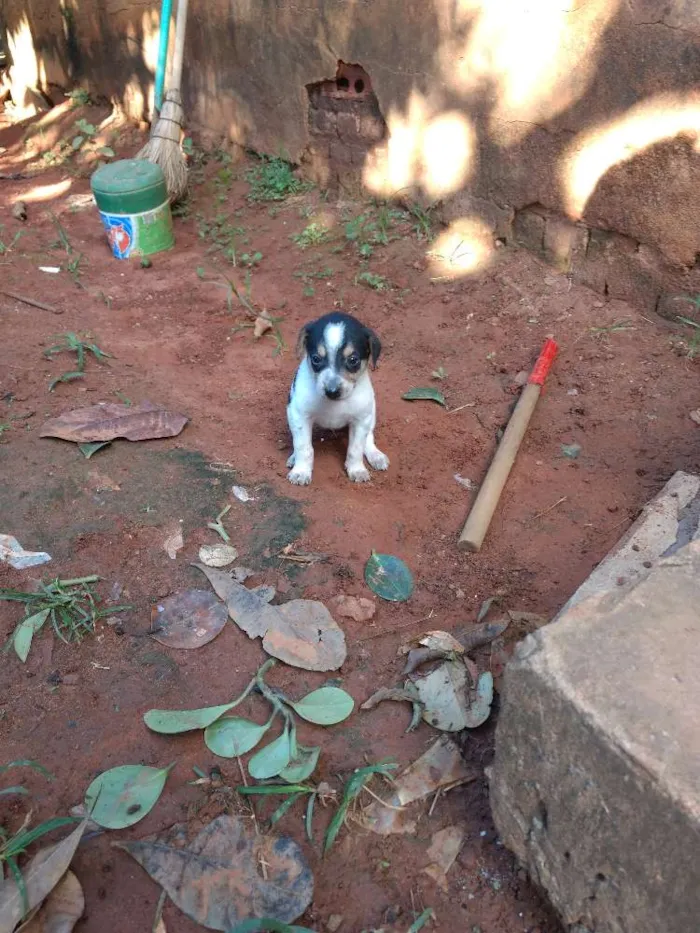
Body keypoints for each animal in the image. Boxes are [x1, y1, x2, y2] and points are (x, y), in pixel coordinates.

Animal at [288, 314, 392, 488]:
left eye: (353, 360)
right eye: (316, 358)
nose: (332, 391)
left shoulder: (360, 419)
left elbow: (356, 449)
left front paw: (357, 469)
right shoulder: (299, 415)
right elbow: (304, 447)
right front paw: (301, 471)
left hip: (371, 412)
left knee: (368, 437)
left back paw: (375, 455)